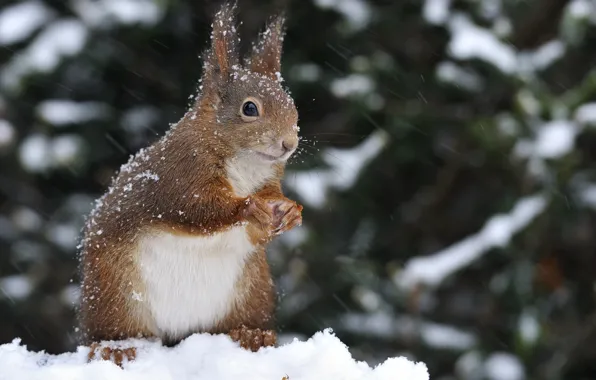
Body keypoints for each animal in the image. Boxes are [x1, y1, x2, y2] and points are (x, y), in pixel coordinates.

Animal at [77, 2, 302, 366]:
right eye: (249, 108)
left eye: (291, 103)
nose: (289, 143)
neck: (245, 165)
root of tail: (180, 332)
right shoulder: (180, 174)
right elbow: (195, 210)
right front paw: (247, 207)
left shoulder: (267, 183)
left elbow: (258, 231)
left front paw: (292, 211)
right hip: (114, 295)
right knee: (113, 331)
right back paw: (116, 346)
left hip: (252, 291)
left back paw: (250, 335)